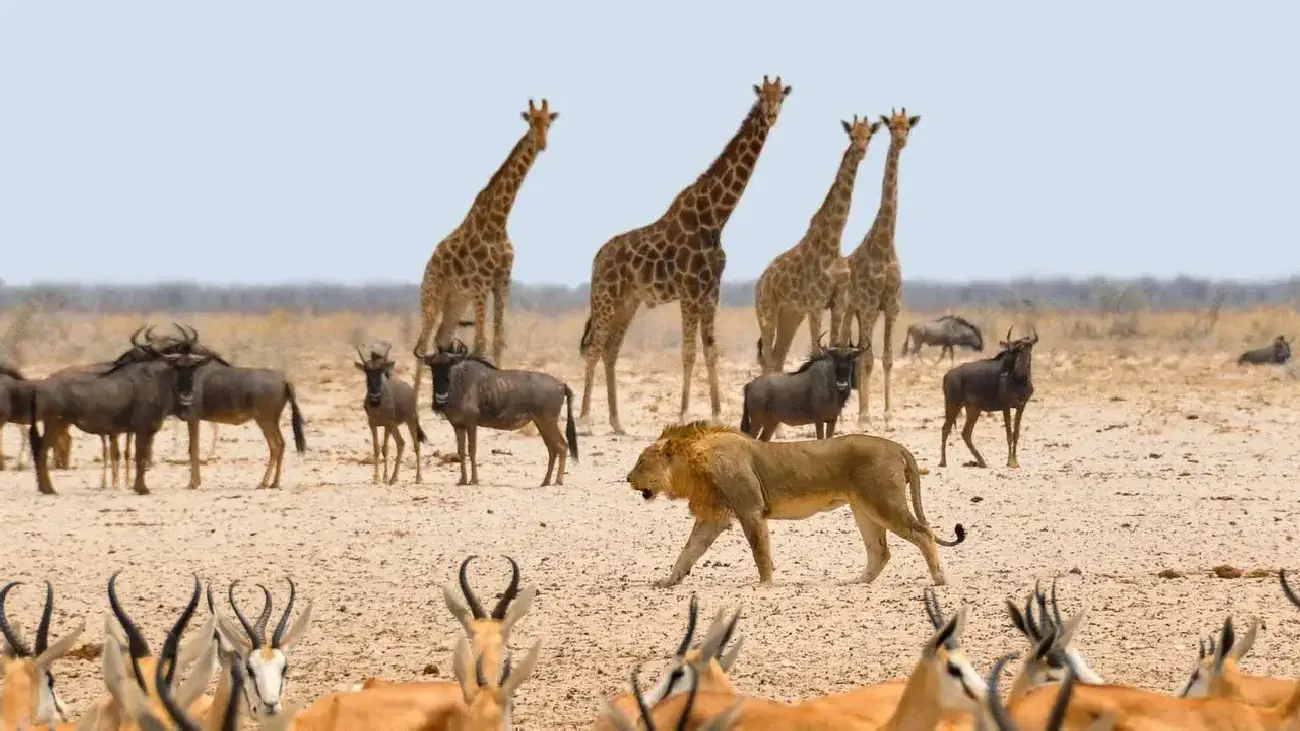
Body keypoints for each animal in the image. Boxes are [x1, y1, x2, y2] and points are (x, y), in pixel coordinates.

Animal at [411, 98, 558, 404]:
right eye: (531, 122)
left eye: (549, 122)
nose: (542, 144)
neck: (498, 220)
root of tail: (428, 264)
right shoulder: (480, 284)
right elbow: (480, 343)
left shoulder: (502, 282)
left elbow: (498, 340)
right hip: (432, 294)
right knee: (422, 342)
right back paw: (415, 404)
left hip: (456, 300)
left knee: (441, 339)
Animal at [577, 76, 792, 435]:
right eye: (762, 97)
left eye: (782, 97)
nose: (773, 115)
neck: (716, 217)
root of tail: (597, 258)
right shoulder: (690, 291)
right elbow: (689, 353)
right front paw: (682, 415)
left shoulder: (710, 292)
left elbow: (711, 351)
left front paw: (717, 415)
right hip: (605, 296)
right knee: (594, 347)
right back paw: (585, 421)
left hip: (628, 302)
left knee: (611, 350)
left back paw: (617, 422)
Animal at [626, 422, 966, 587]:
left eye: (641, 462)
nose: (627, 478)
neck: (693, 463)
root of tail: (896, 446)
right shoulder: (714, 517)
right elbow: (688, 551)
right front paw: (668, 581)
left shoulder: (750, 509)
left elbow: (760, 551)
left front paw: (764, 584)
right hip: (864, 509)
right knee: (880, 551)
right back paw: (857, 581)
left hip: (884, 501)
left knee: (923, 533)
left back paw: (939, 579)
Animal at [753, 115, 882, 373]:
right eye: (852, 134)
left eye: (869, 135)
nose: (861, 150)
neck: (834, 242)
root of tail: (759, 284)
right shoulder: (815, 303)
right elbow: (816, 349)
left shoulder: (838, 301)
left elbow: (834, 344)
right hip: (767, 311)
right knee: (769, 359)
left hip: (791, 314)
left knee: (778, 358)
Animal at [838, 108, 920, 425]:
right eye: (891, 127)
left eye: (907, 126)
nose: (901, 140)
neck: (884, 244)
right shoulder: (871, 304)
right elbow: (867, 358)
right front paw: (864, 415)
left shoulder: (892, 305)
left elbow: (886, 358)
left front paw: (886, 413)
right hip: (851, 309)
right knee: (846, 348)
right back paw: (851, 414)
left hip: (860, 311)